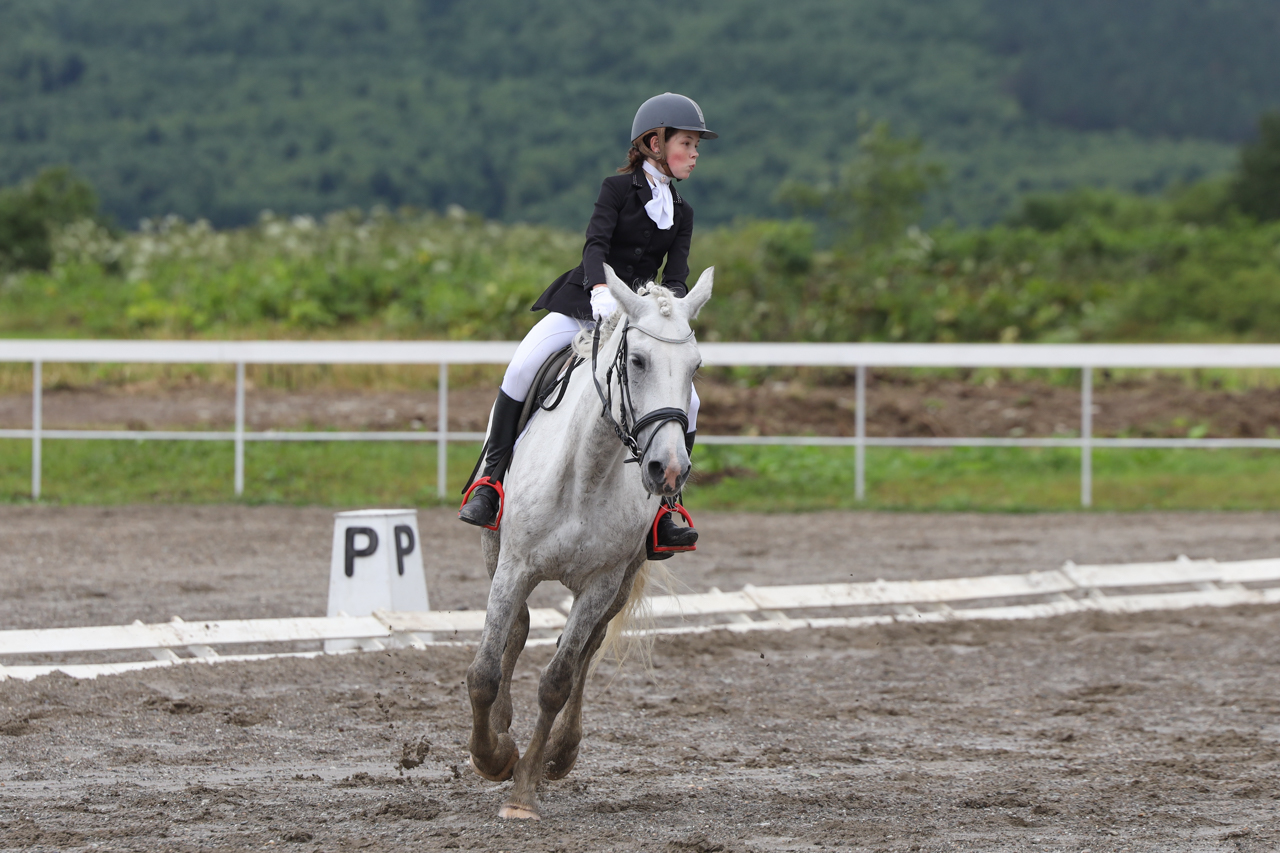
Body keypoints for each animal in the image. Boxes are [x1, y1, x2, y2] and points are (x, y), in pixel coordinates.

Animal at [465, 261, 716, 819]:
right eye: (638, 360)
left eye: (694, 367)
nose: (668, 471)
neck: (588, 472)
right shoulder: (514, 565)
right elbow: (485, 670)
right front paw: (492, 756)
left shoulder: (603, 582)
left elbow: (558, 679)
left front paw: (524, 790)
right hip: (496, 552)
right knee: (519, 629)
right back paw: (505, 731)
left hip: (617, 583)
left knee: (586, 648)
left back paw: (560, 753)